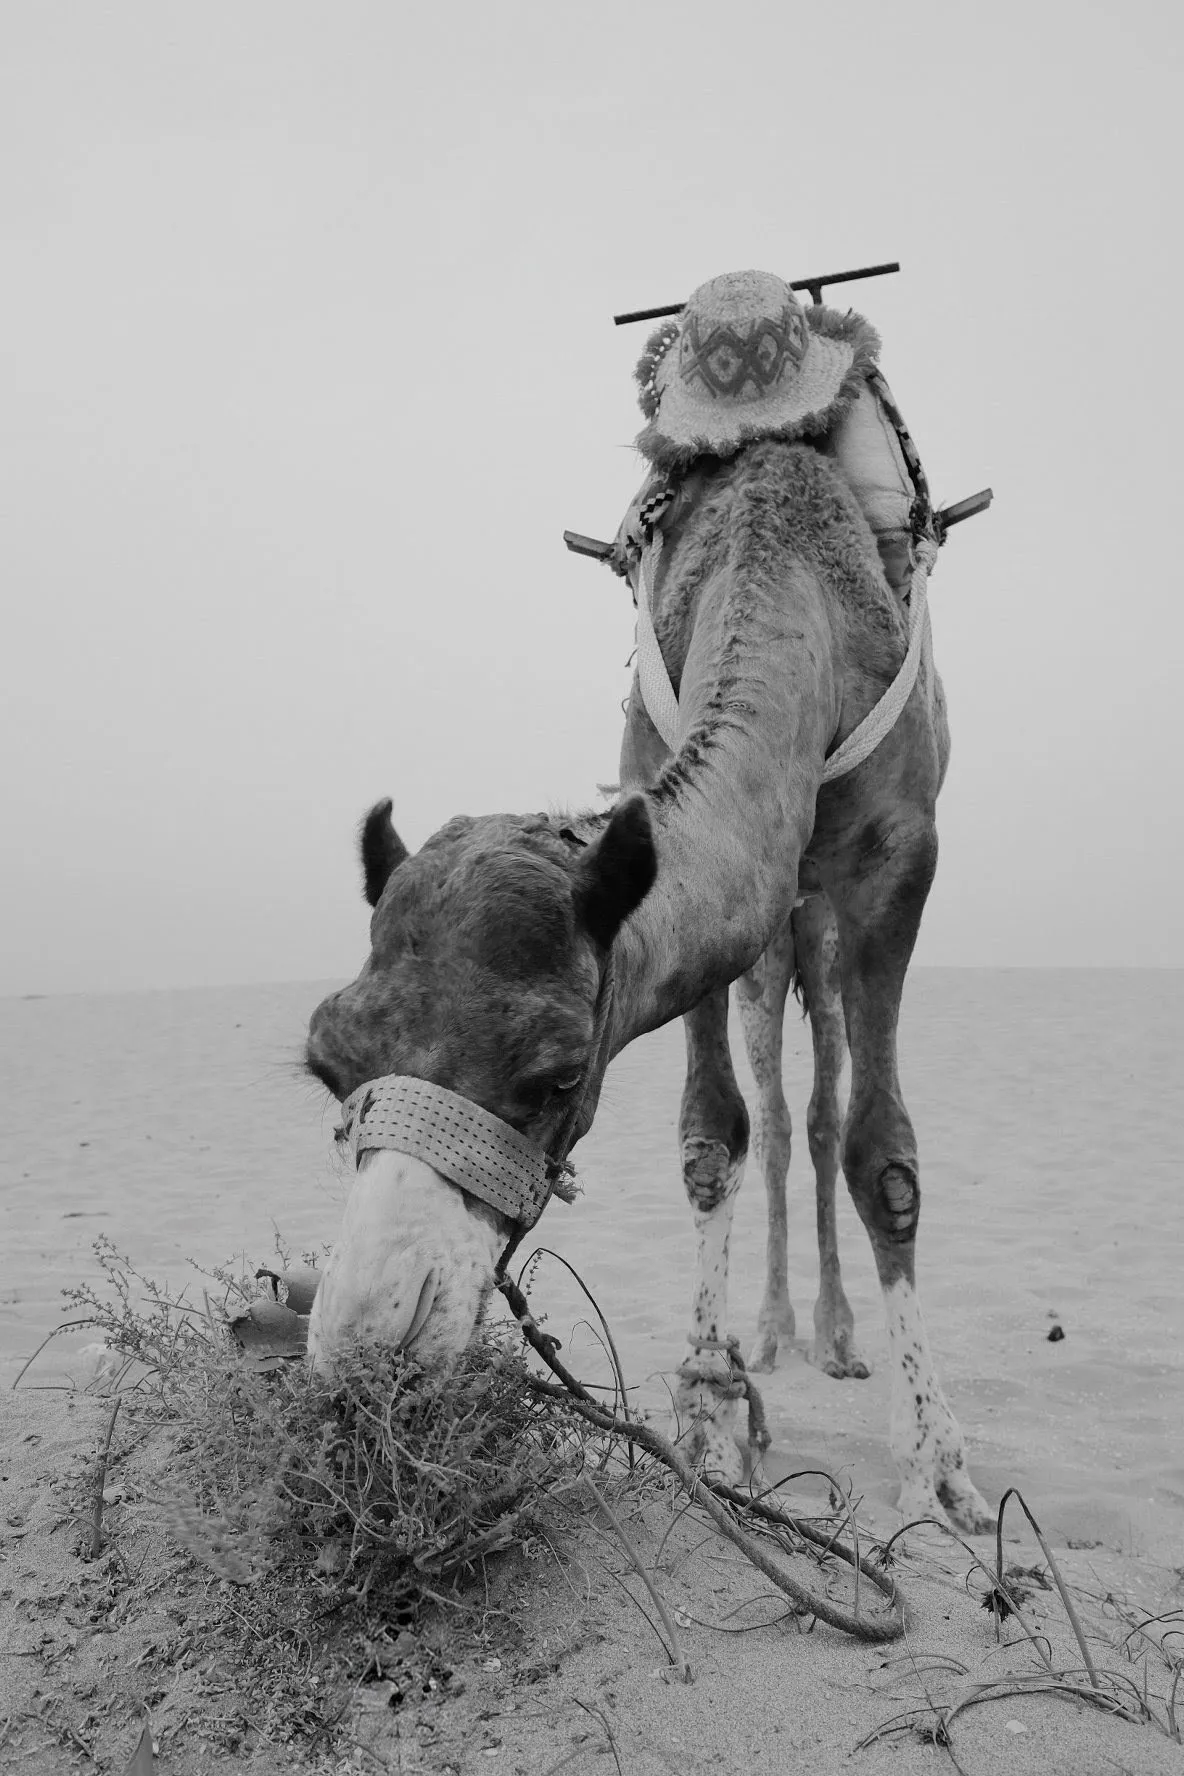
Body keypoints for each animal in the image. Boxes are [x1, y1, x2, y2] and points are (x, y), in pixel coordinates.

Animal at [304, 272, 993, 1533]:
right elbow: (711, 1135)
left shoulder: (900, 862)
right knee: (779, 1103)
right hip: (774, 940)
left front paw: (939, 1465)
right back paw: (772, 1337)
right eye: (330, 1062)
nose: (372, 1341)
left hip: (824, 925)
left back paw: (832, 1340)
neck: (791, 565)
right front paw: (711, 1423)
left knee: (824, 1103)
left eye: (554, 1075)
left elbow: (883, 1152)